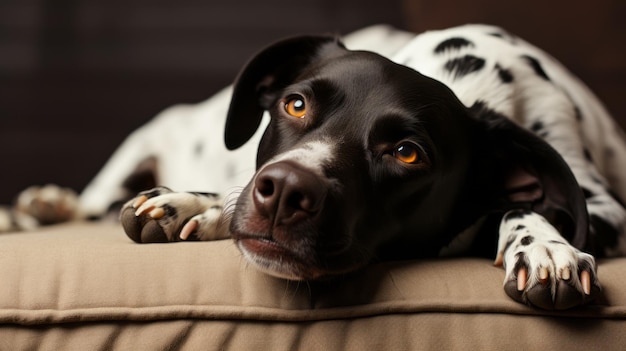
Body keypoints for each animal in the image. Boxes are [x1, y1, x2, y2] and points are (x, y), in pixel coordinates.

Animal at [4, 24, 624, 310]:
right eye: (295, 104)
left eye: (408, 152)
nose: (283, 192)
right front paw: (195, 203)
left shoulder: (606, 210)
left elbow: (518, 207)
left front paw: (545, 249)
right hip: (145, 137)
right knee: (91, 199)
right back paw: (37, 208)